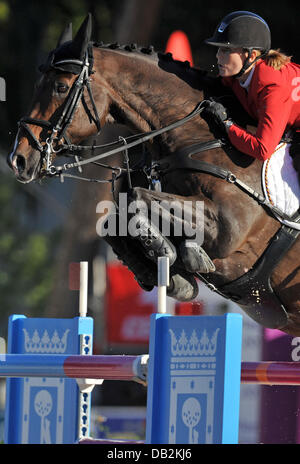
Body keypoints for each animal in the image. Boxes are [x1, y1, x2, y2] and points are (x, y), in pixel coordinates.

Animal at [7, 13, 300, 334]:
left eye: (60, 86)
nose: (18, 159)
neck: (198, 135)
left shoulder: (227, 227)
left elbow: (137, 197)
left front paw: (174, 252)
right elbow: (111, 220)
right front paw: (170, 273)